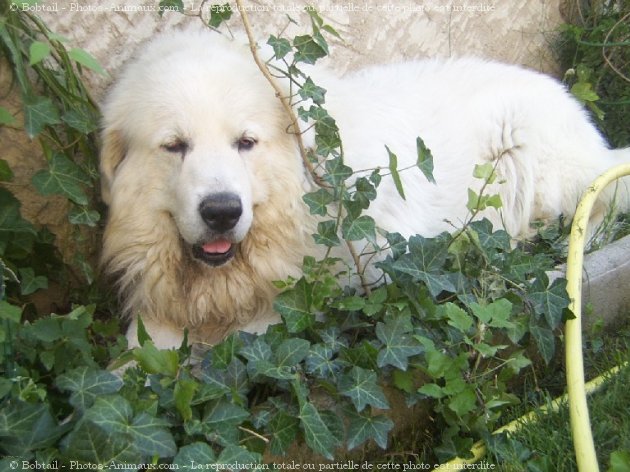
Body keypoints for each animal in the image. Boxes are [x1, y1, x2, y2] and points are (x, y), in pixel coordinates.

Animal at [99, 28, 630, 346]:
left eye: (245, 142)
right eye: (175, 146)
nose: (222, 211)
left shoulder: (339, 282)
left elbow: (249, 334)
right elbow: (140, 355)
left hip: (539, 163)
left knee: (597, 210)